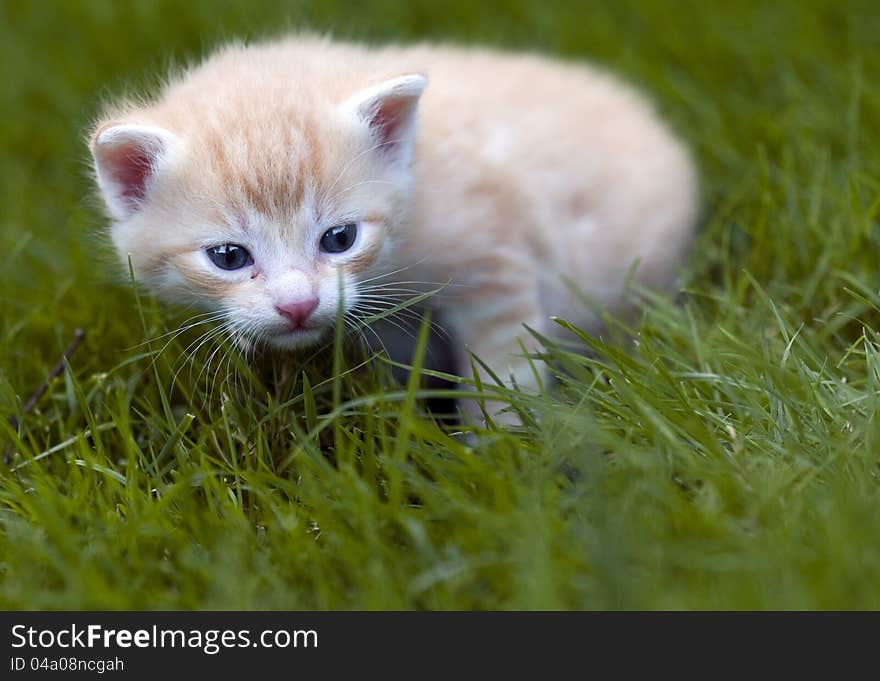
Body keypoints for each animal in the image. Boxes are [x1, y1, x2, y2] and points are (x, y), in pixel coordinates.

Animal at [87, 35, 696, 420]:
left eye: (339, 239)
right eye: (230, 257)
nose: (297, 306)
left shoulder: (493, 266)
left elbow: (503, 374)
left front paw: (500, 450)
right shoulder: (388, 324)